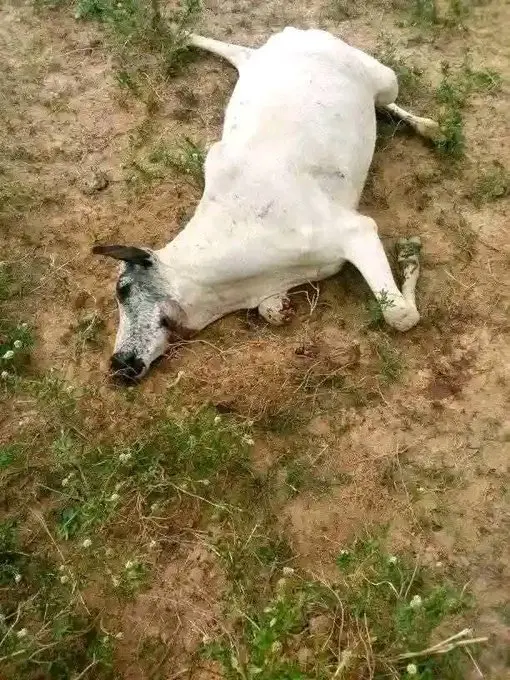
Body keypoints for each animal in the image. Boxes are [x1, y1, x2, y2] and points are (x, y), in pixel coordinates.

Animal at [93, 27, 439, 382]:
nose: (117, 365)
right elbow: (271, 310)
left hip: (385, 78)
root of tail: (287, 36)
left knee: (388, 100)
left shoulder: (357, 231)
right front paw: (279, 306)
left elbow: (401, 315)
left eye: (123, 289)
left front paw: (409, 256)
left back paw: (427, 127)